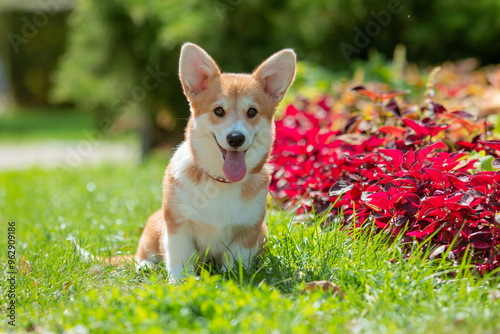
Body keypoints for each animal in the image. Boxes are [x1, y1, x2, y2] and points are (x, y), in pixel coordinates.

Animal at [76, 43, 294, 280]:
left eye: (252, 112)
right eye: (219, 111)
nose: (236, 138)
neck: (219, 181)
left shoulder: (248, 230)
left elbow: (236, 261)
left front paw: (235, 277)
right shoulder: (178, 224)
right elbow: (180, 258)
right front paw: (181, 281)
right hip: (155, 223)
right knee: (142, 256)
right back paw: (146, 265)